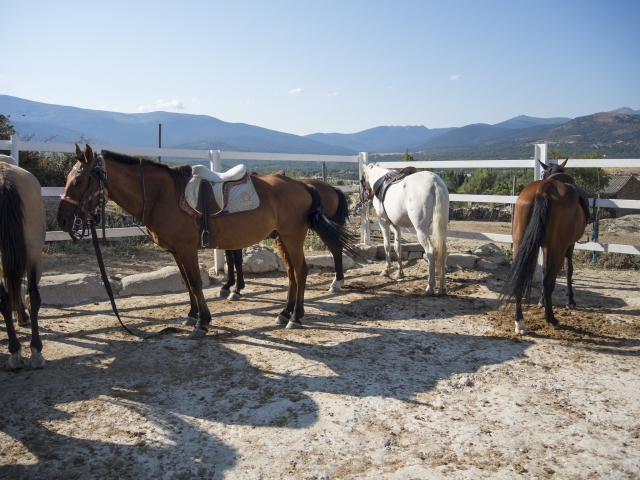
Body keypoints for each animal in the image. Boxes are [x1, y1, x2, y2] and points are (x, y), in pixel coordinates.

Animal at [221, 176, 351, 300]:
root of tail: (332, 188)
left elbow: (237, 261)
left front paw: (236, 290)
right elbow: (230, 259)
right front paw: (227, 286)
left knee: (336, 250)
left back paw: (336, 283)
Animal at [362, 163, 449, 296]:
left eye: (362, 179)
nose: (366, 196)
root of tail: (434, 182)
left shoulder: (384, 222)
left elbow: (387, 245)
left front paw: (386, 270)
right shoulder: (396, 225)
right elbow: (398, 247)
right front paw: (400, 273)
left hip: (421, 230)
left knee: (430, 251)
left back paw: (430, 287)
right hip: (441, 226)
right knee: (443, 250)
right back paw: (442, 288)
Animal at [500, 159, 588, 335]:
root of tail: (543, 190)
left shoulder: (546, 247)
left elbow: (544, 270)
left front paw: (541, 300)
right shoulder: (568, 246)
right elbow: (567, 270)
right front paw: (570, 301)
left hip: (520, 243)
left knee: (520, 276)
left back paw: (520, 322)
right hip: (558, 249)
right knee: (549, 281)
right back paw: (551, 318)